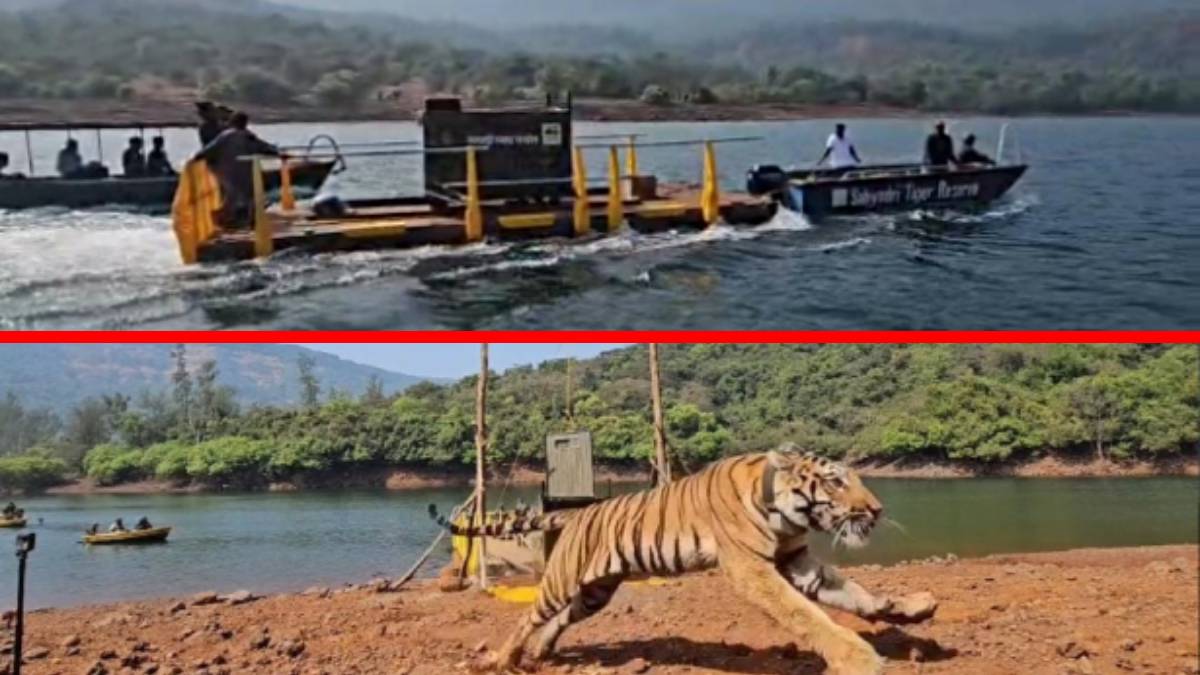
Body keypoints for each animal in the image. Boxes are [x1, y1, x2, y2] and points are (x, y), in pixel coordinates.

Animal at [430, 446, 938, 675]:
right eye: (835, 482)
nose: (877, 510)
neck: (788, 512)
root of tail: (575, 513)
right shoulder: (752, 569)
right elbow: (805, 614)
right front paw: (858, 656)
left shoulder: (797, 560)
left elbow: (856, 594)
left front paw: (913, 607)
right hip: (561, 580)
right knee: (528, 617)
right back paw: (505, 658)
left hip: (595, 591)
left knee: (558, 620)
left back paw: (542, 653)